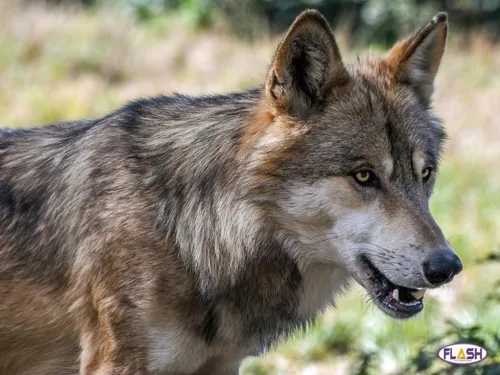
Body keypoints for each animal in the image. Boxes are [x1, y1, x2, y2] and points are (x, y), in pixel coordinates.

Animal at [0, 8, 462, 375]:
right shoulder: (115, 363)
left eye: (425, 174)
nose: (447, 267)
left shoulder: (222, 365)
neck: (187, 233)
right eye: (364, 176)